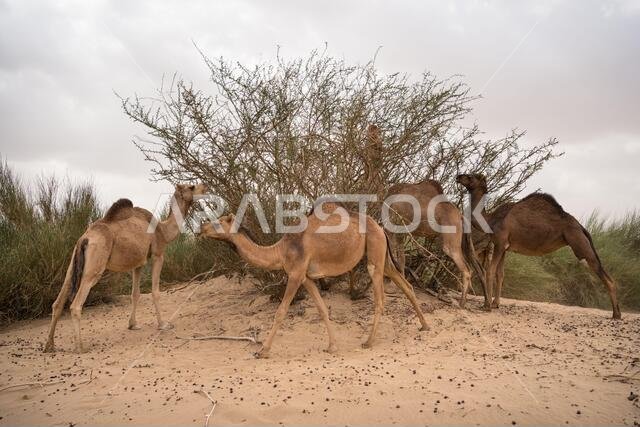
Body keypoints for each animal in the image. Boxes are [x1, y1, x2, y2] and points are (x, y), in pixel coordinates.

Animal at [43, 183, 208, 353]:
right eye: (192, 187)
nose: (205, 187)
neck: (163, 230)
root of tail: (85, 238)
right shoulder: (158, 254)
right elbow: (155, 292)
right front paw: (163, 324)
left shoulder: (138, 263)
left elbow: (135, 294)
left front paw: (133, 325)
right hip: (94, 266)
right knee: (76, 305)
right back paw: (80, 347)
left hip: (73, 264)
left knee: (58, 302)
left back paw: (49, 345)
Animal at [197, 203, 429, 358]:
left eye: (219, 222)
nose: (202, 227)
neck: (280, 251)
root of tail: (380, 228)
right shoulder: (306, 278)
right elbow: (321, 309)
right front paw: (332, 346)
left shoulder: (295, 274)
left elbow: (281, 311)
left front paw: (263, 351)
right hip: (381, 256)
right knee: (406, 285)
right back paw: (425, 326)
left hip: (374, 253)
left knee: (380, 298)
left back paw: (369, 341)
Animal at [385, 180, 489, 309]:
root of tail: (461, 217)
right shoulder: (401, 230)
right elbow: (401, 257)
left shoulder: (394, 225)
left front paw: (391, 288)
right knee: (477, 268)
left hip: (451, 241)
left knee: (465, 268)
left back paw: (461, 303)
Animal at [456, 173, 621, 319]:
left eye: (471, 176)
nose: (458, 176)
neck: (491, 219)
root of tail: (581, 227)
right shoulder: (503, 247)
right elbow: (500, 274)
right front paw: (496, 304)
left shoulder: (501, 243)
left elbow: (490, 271)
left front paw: (487, 306)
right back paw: (616, 313)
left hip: (579, 244)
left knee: (604, 274)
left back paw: (616, 315)